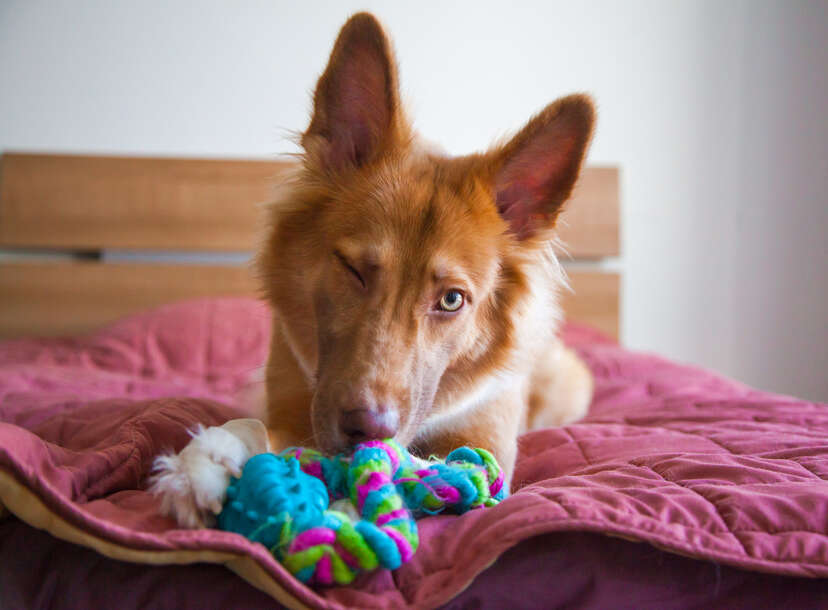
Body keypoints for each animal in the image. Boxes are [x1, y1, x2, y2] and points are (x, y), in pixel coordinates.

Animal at [151, 12, 595, 529]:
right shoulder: (292, 407)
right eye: (352, 268)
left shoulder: (486, 444)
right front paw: (205, 462)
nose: (367, 430)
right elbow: (257, 424)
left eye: (452, 299)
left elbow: (428, 463)